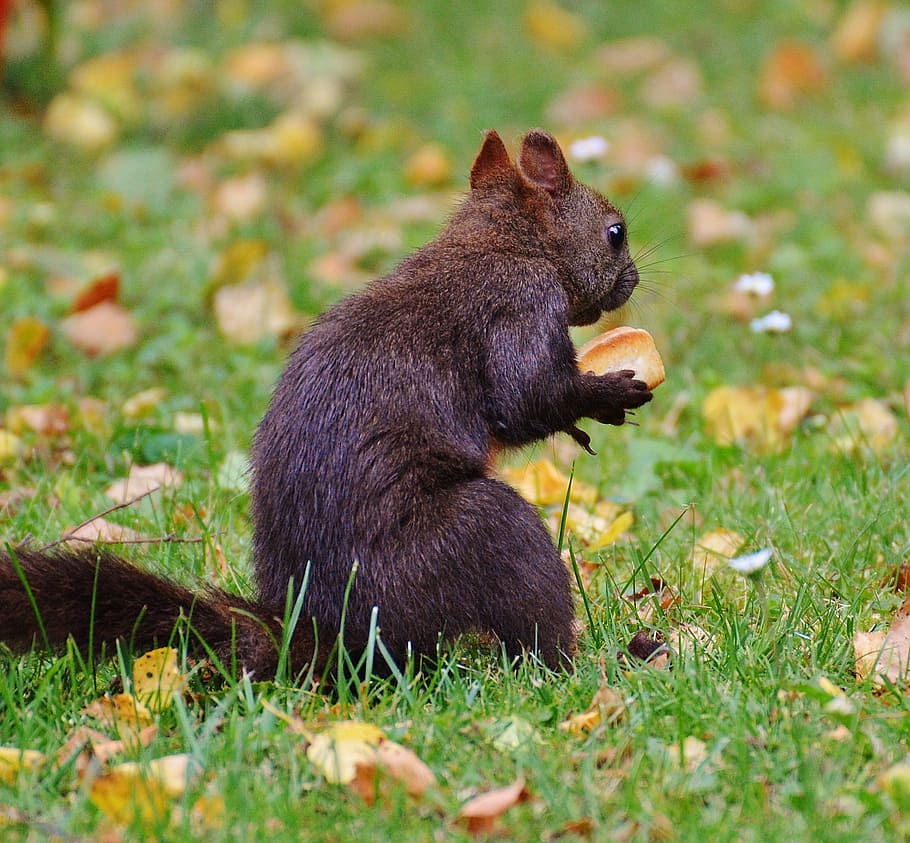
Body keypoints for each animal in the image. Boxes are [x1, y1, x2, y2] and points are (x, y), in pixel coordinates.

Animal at [0, 129, 650, 678]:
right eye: (615, 231)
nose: (635, 279)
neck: (504, 241)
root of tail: (338, 635)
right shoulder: (519, 306)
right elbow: (527, 395)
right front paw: (607, 395)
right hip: (479, 537)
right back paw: (580, 665)